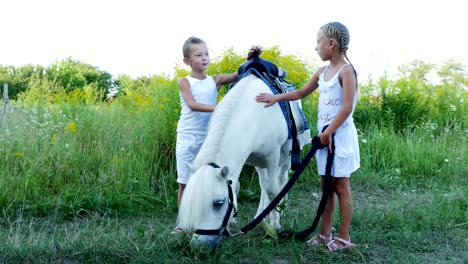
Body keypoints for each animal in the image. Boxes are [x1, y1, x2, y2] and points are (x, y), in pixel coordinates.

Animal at [176, 72, 290, 250]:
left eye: (219, 203)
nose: (199, 247)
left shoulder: (273, 154)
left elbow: (273, 190)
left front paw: (276, 226)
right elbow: (239, 187)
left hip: (285, 157)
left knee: (281, 180)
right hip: (260, 163)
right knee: (263, 184)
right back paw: (260, 216)